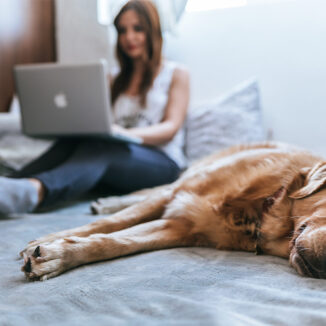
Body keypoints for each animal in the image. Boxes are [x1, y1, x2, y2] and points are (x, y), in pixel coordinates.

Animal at [21, 143, 326, 280]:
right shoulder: (175, 194)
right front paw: (48, 241)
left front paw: (60, 255)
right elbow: (113, 223)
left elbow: (116, 241)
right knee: (145, 192)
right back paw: (107, 202)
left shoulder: (179, 226)